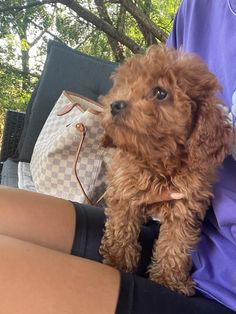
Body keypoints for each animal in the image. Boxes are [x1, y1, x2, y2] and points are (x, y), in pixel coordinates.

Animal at [99, 45, 232, 296]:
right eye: (124, 85)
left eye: (161, 93)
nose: (115, 104)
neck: (159, 161)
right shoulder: (125, 188)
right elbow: (121, 227)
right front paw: (117, 260)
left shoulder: (185, 204)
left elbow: (175, 244)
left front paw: (168, 281)